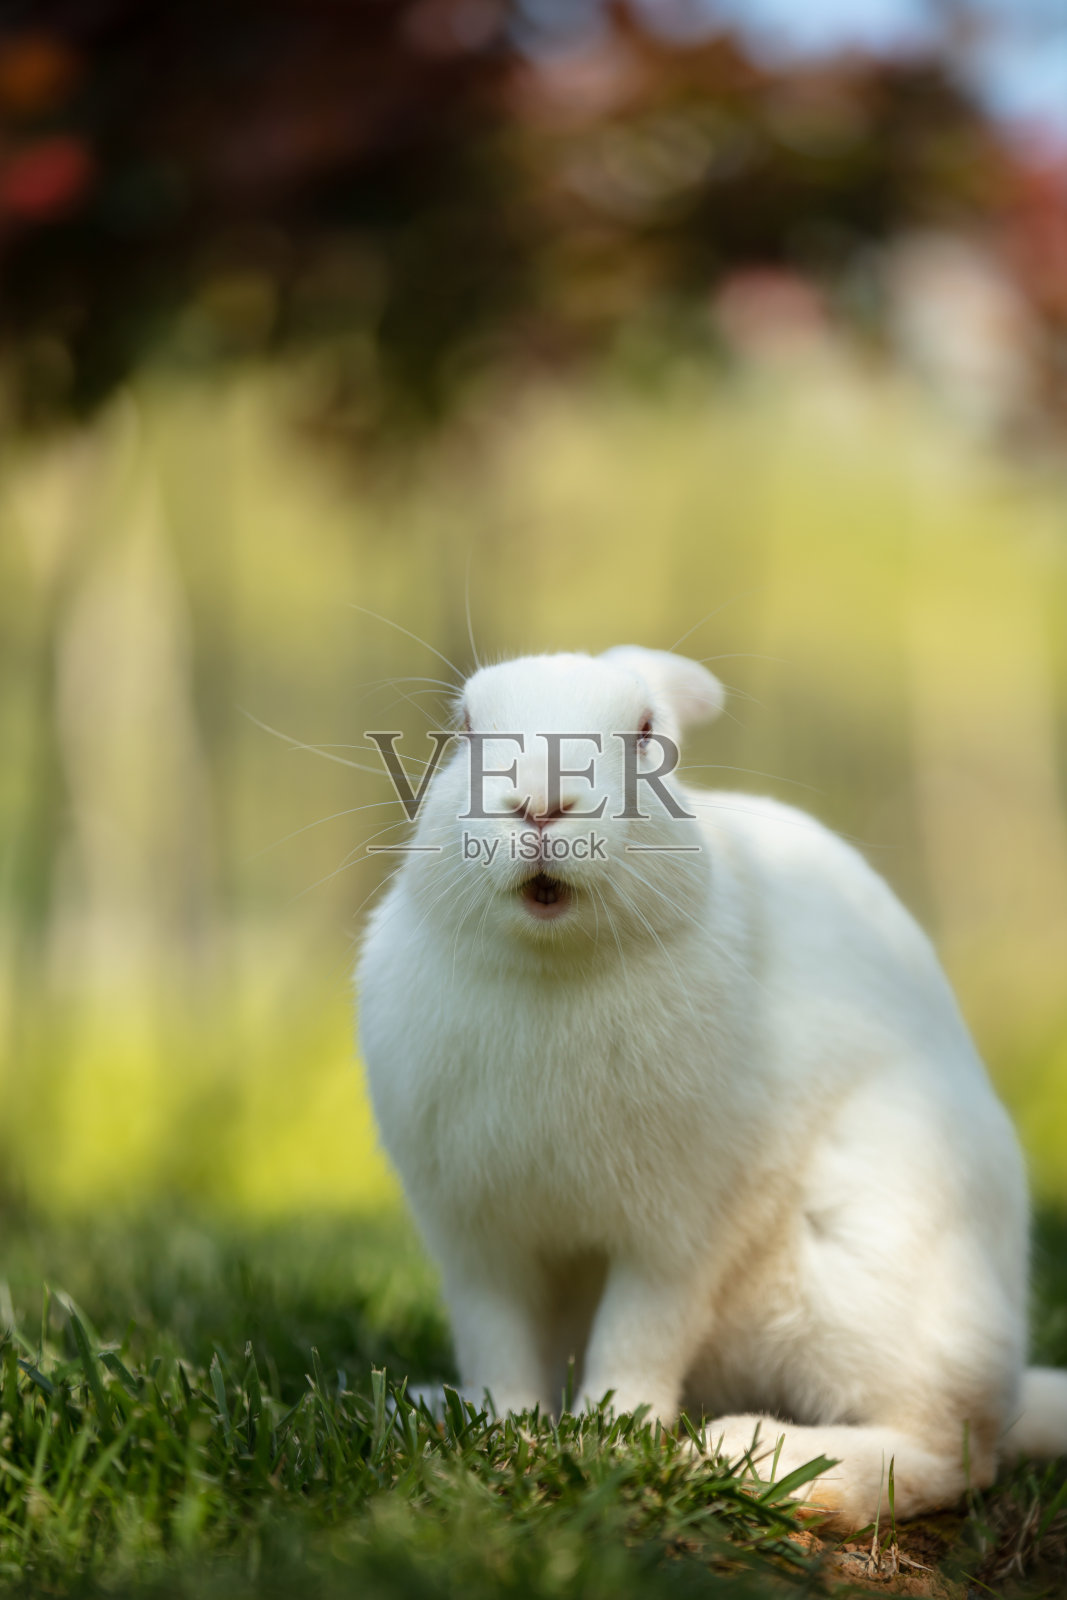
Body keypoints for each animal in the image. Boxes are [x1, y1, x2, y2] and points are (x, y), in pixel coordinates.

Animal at [356, 645, 1067, 1528]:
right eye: (464, 729)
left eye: (645, 732)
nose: (541, 804)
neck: (553, 967)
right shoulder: (478, 1239)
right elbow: (500, 1347)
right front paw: (505, 1435)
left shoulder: (678, 1230)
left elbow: (640, 1336)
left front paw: (611, 1442)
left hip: (872, 1264)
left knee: (951, 1450)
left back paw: (754, 1456)